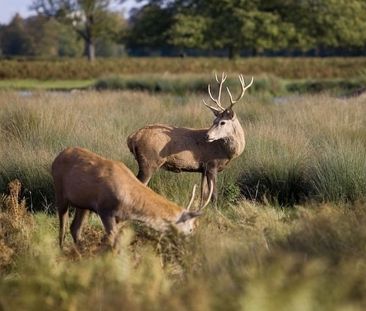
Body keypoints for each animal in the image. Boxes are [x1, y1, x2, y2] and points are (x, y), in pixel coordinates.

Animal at [51, 147, 212, 250]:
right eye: (191, 228)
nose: (193, 245)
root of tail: (57, 157)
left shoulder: (122, 218)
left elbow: (115, 241)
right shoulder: (105, 210)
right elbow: (113, 242)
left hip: (83, 205)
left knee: (75, 228)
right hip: (60, 192)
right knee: (63, 226)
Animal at [127, 73, 253, 205]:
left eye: (222, 122)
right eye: (214, 120)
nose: (207, 135)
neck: (225, 151)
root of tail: (132, 138)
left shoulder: (203, 169)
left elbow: (203, 195)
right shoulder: (211, 164)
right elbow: (214, 196)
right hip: (148, 161)